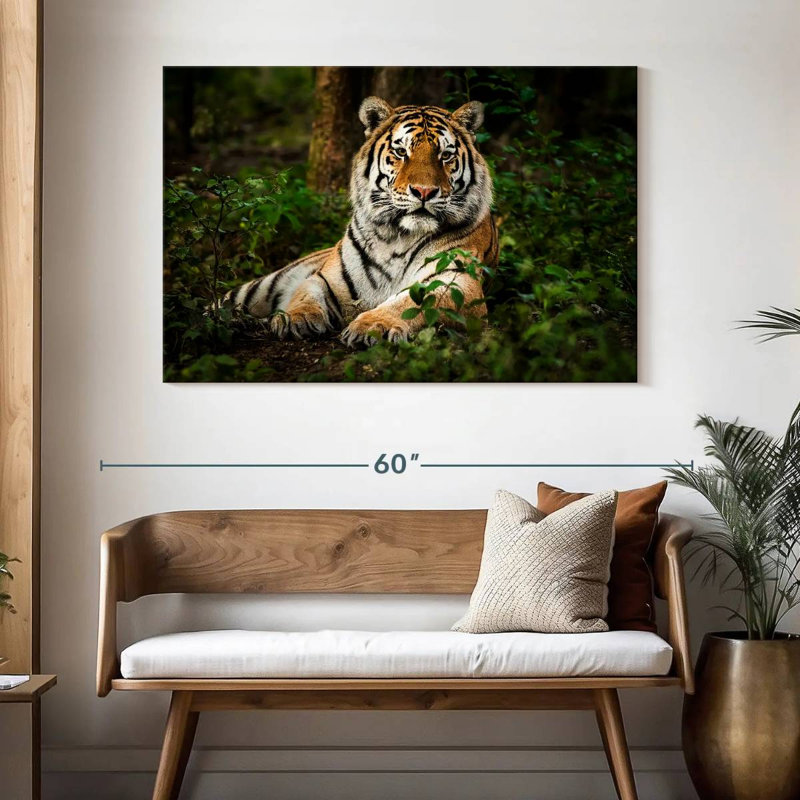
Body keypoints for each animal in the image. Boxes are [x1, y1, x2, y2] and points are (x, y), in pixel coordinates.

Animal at [225, 96, 499, 345]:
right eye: (401, 152)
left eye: (445, 155)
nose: (424, 191)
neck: (398, 237)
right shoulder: (326, 279)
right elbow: (305, 294)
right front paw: (295, 318)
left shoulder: (457, 282)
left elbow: (410, 303)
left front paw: (373, 326)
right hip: (261, 287)